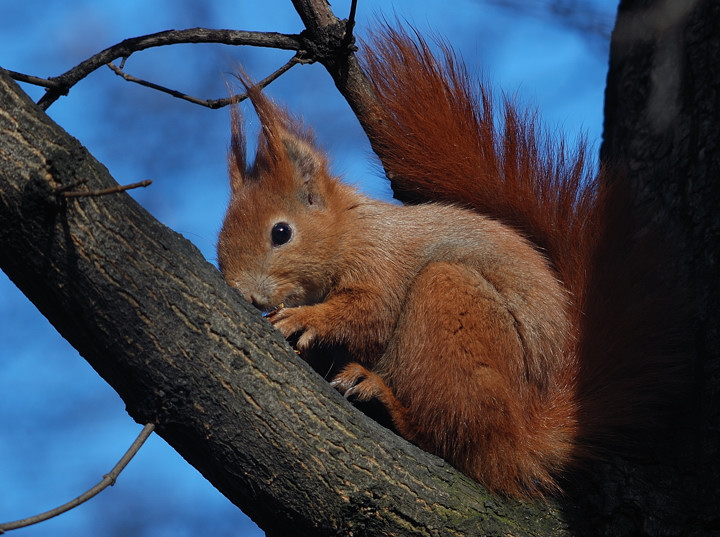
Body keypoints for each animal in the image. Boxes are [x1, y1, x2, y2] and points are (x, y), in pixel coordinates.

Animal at [217, 25, 684, 494]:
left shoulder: (381, 259)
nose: (245, 294)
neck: (348, 231)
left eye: (281, 233)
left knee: (459, 438)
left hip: (452, 309)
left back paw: (384, 400)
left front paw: (304, 318)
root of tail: (526, 431)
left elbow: (370, 312)